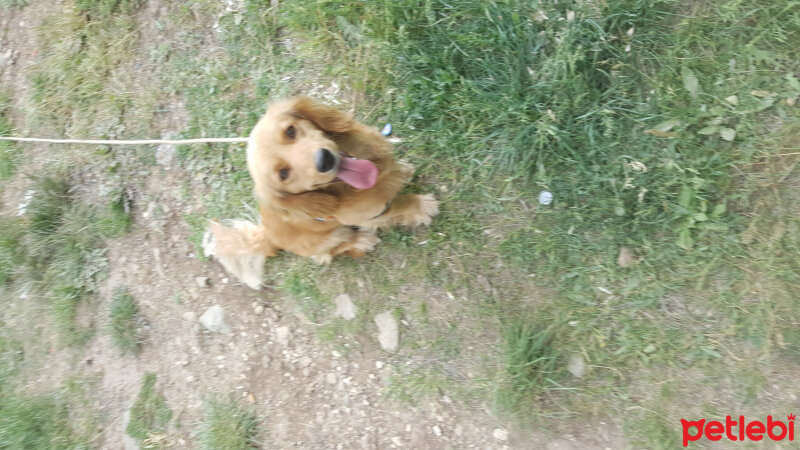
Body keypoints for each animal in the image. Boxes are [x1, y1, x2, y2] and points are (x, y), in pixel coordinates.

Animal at [200, 96, 438, 290]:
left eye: (290, 131)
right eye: (283, 174)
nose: (325, 160)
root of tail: (268, 235)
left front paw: (405, 172)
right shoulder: (374, 215)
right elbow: (400, 205)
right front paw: (422, 207)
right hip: (332, 237)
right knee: (330, 253)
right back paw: (361, 241)